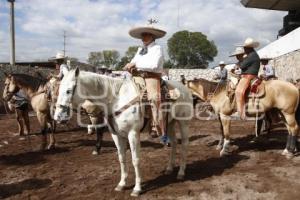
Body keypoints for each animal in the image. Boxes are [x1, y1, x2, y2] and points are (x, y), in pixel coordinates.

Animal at [54, 69, 193, 197]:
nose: (58, 117)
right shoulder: (116, 135)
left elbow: (135, 160)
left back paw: (181, 173)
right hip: (169, 123)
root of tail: (184, 89)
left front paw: (137, 188)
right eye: (59, 89)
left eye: (68, 90)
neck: (116, 99)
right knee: (174, 143)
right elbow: (121, 158)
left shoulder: (133, 134)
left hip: (183, 123)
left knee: (184, 145)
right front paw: (122, 184)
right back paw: (169, 168)